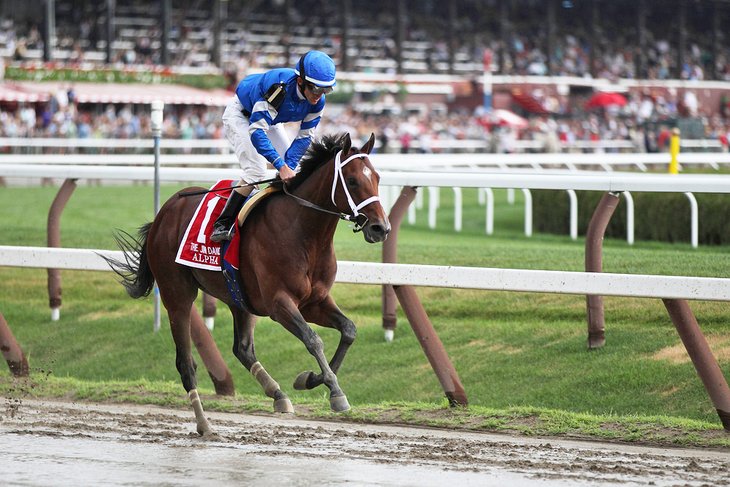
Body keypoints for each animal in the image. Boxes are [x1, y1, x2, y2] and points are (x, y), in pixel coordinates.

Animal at [106, 132, 390, 434]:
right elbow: (313, 339)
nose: (381, 228)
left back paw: (278, 395)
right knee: (186, 363)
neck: (304, 234)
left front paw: (311, 379)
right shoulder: (279, 304)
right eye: (352, 180)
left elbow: (349, 330)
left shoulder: (315, 301)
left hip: (238, 297)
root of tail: (164, 213)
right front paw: (335, 392)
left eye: (377, 177)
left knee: (242, 349)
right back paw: (204, 423)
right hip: (177, 295)